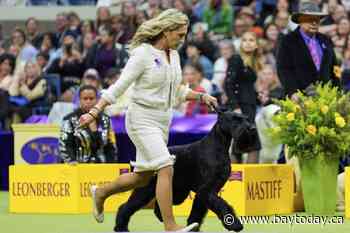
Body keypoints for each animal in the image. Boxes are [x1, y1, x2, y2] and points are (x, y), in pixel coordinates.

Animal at [114, 109, 260, 231]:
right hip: (146, 189)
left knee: (158, 206)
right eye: (235, 119)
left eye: (246, 118)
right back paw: (121, 227)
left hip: (175, 190)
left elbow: (197, 212)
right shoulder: (206, 190)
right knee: (126, 206)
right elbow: (223, 205)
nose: (252, 128)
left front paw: (193, 227)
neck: (219, 146)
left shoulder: (207, 192)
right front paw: (235, 224)